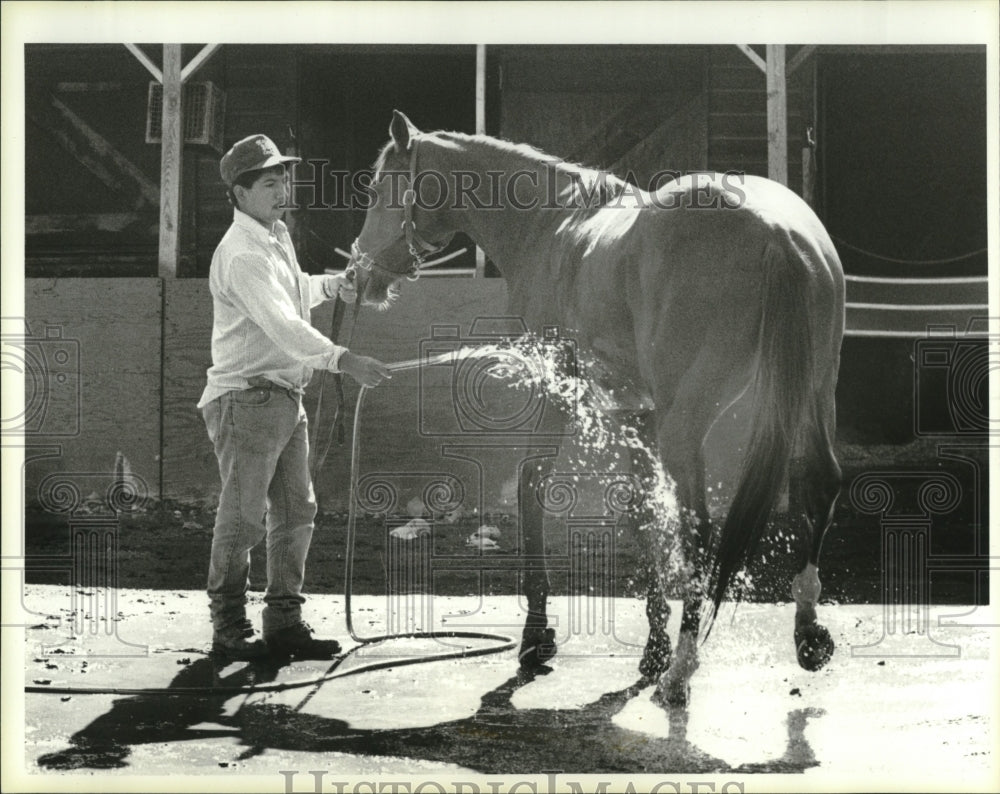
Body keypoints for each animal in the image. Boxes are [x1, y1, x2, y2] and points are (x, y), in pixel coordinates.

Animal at [344, 108, 844, 704]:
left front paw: (538, 635)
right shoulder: (636, 413)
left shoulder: (556, 388)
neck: (553, 227)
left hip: (688, 425)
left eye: (378, 187)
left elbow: (533, 483)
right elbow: (642, 512)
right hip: (810, 396)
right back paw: (806, 632)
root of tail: (777, 235)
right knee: (818, 483)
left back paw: (683, 670)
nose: (357, 275)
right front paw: (652, 646)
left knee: (700, 528)